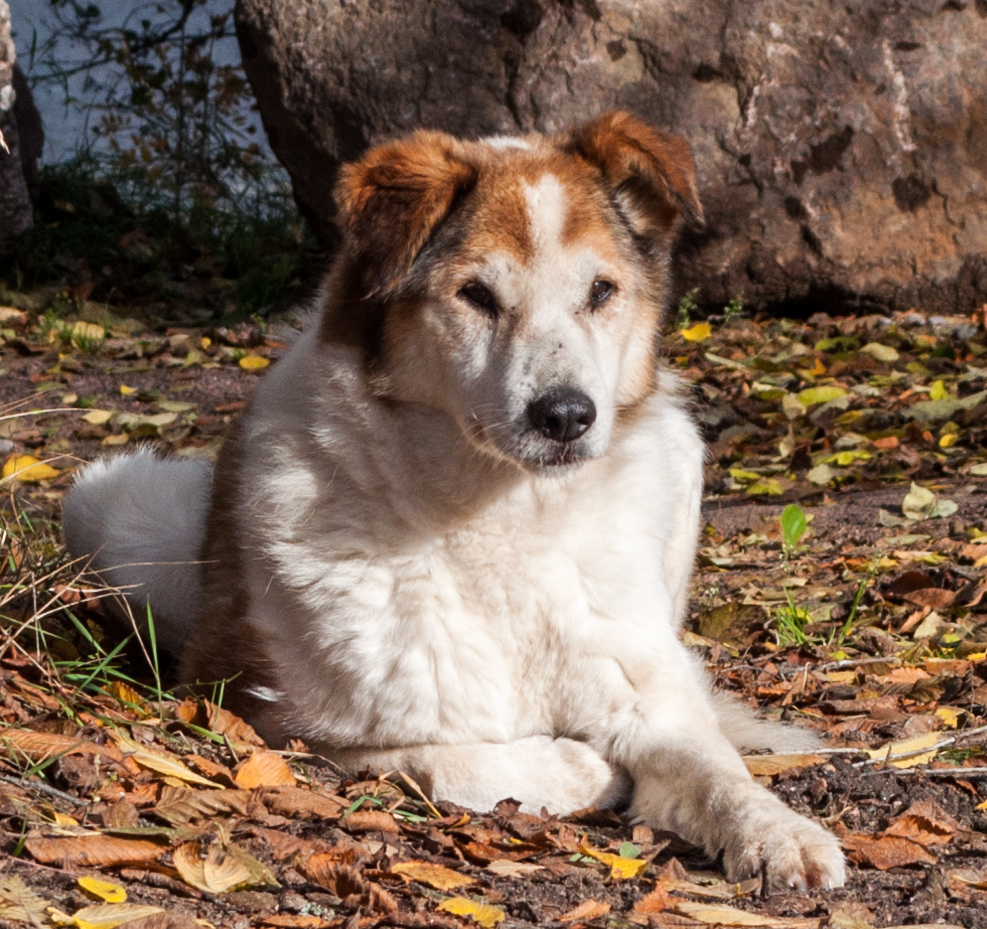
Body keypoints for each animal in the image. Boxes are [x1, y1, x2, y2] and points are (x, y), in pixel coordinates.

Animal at [63, 112, 848, 888]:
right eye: (476, 295)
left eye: (601, 291)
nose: (566, 416)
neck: (504, 515)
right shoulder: (273, 716)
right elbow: (449, 760)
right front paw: (581, 765)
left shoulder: (649, 695)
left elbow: (715, 766)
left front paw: (777, 831)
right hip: (114, 509)